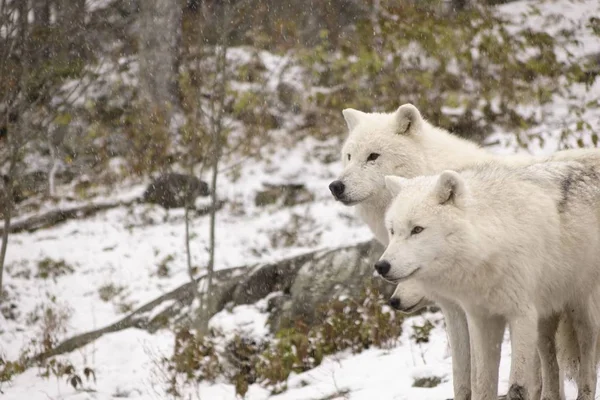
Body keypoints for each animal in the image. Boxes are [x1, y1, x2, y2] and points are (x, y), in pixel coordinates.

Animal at [378, 163, 600, 400]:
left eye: (417, 229)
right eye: (393, 231)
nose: (381, 266)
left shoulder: (522, 316)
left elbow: (517, 388)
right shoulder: (482, 319)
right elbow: (482, 383)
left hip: (580, 307)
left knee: (588, 347)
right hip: (545, 318)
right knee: (550, 358)